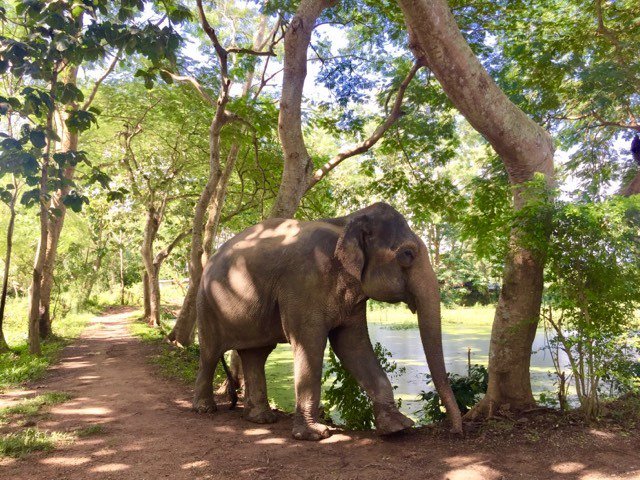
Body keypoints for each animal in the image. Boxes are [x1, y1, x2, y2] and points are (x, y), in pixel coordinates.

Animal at [193, 202, 463, 440]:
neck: (345, 221)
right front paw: (314, 435)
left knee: (256, 354)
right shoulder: (304, 280)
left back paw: (261, 419)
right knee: (210, 353)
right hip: (206, 305)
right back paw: (204, 409)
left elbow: (352, 344)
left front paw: (398, 428)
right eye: (407, 254)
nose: (455, 430)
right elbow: (310, 342)